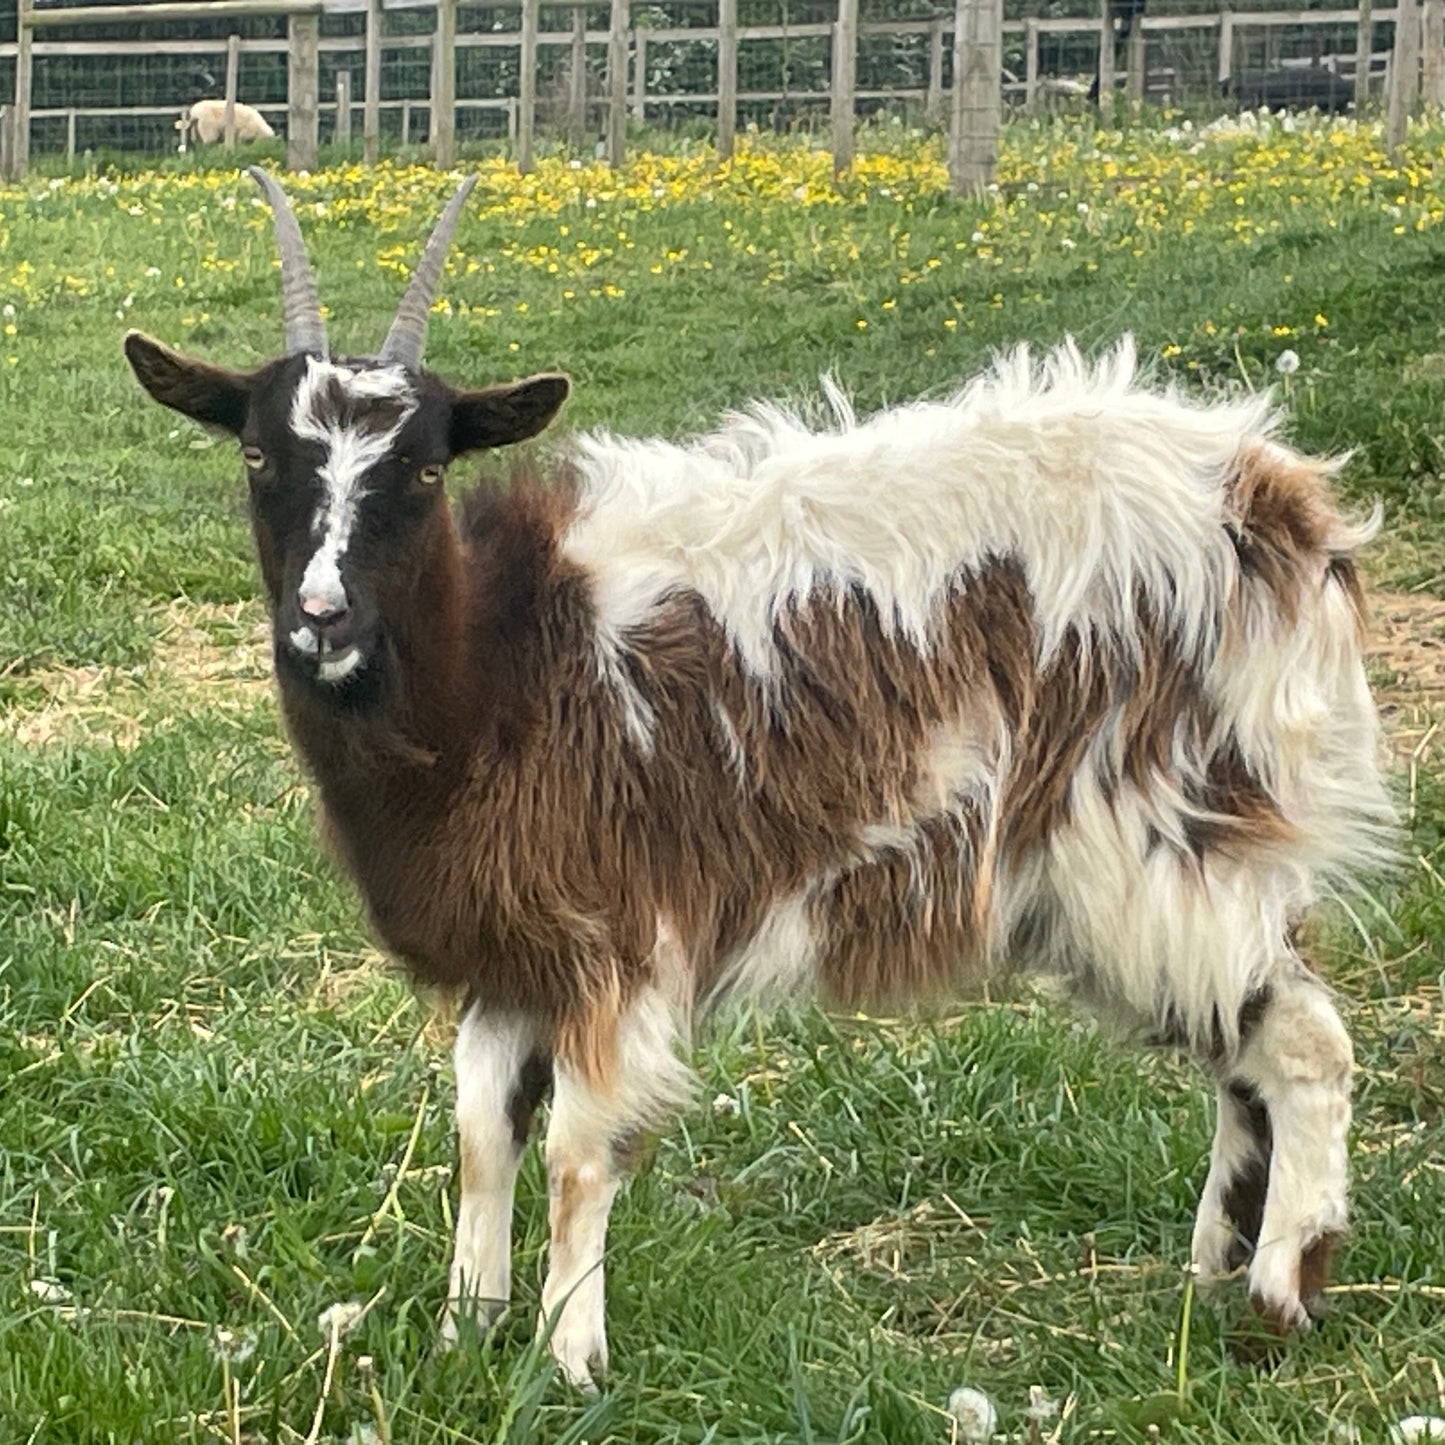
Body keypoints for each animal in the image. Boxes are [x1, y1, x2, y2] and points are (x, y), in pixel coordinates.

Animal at [124, 168, 1394, 1388]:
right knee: (1244, 1048)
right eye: (257, 454)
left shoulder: (619, 935)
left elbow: (575, 1155)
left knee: (1304, 1042)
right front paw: (462, 1333)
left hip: (1156, 838)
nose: (321, 616)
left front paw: (569, 1360)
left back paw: (1277, 1299)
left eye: (428, 467)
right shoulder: (511, 941)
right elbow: (481, 1134)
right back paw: (1213, 1266)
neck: (504, 661)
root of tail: (1275, 494)